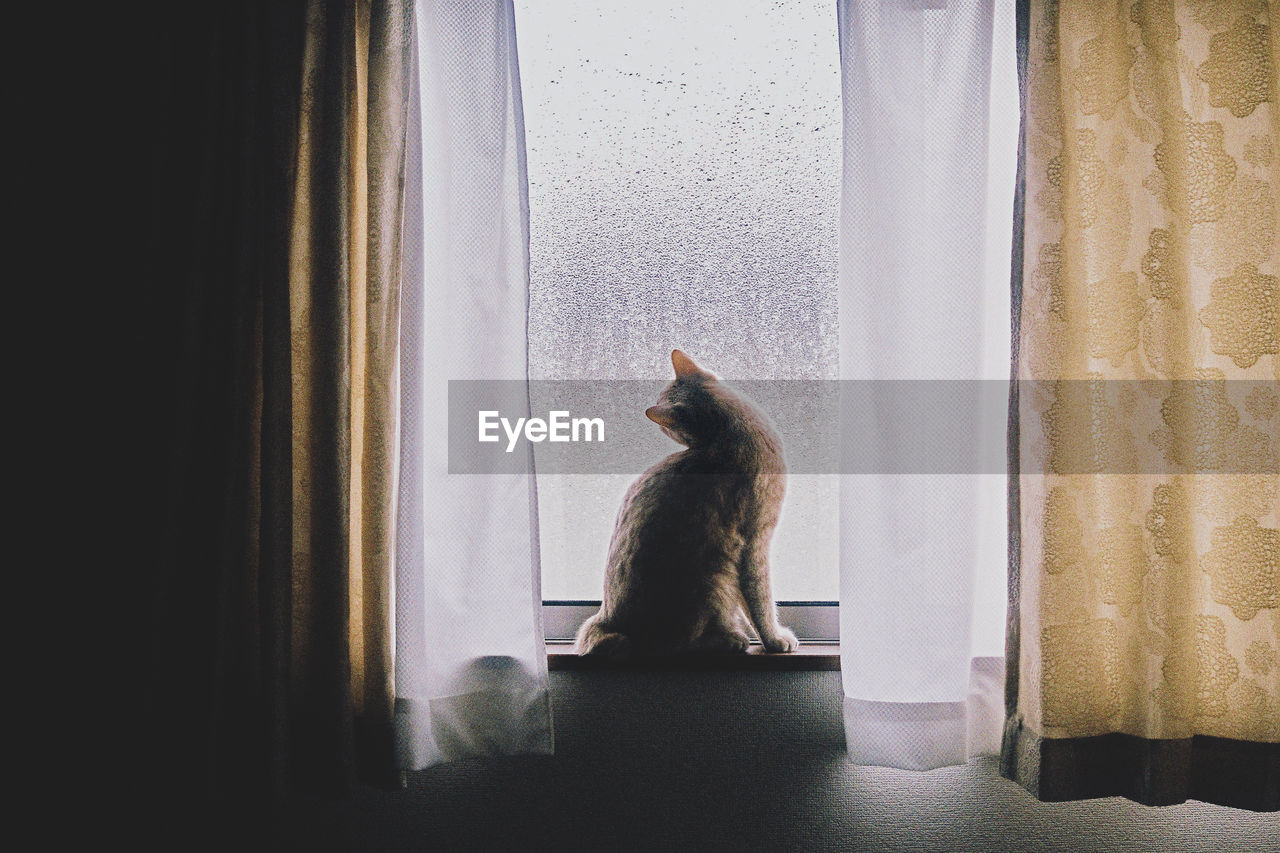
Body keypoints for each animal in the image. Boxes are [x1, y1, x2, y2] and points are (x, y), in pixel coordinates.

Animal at [576, 348, 793, 653]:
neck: (731, 431)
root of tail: (607, 620)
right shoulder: (755, 544)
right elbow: (760, 603)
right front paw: (774, 639)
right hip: (716, 578)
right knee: (685, 642)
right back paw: (730, 639)